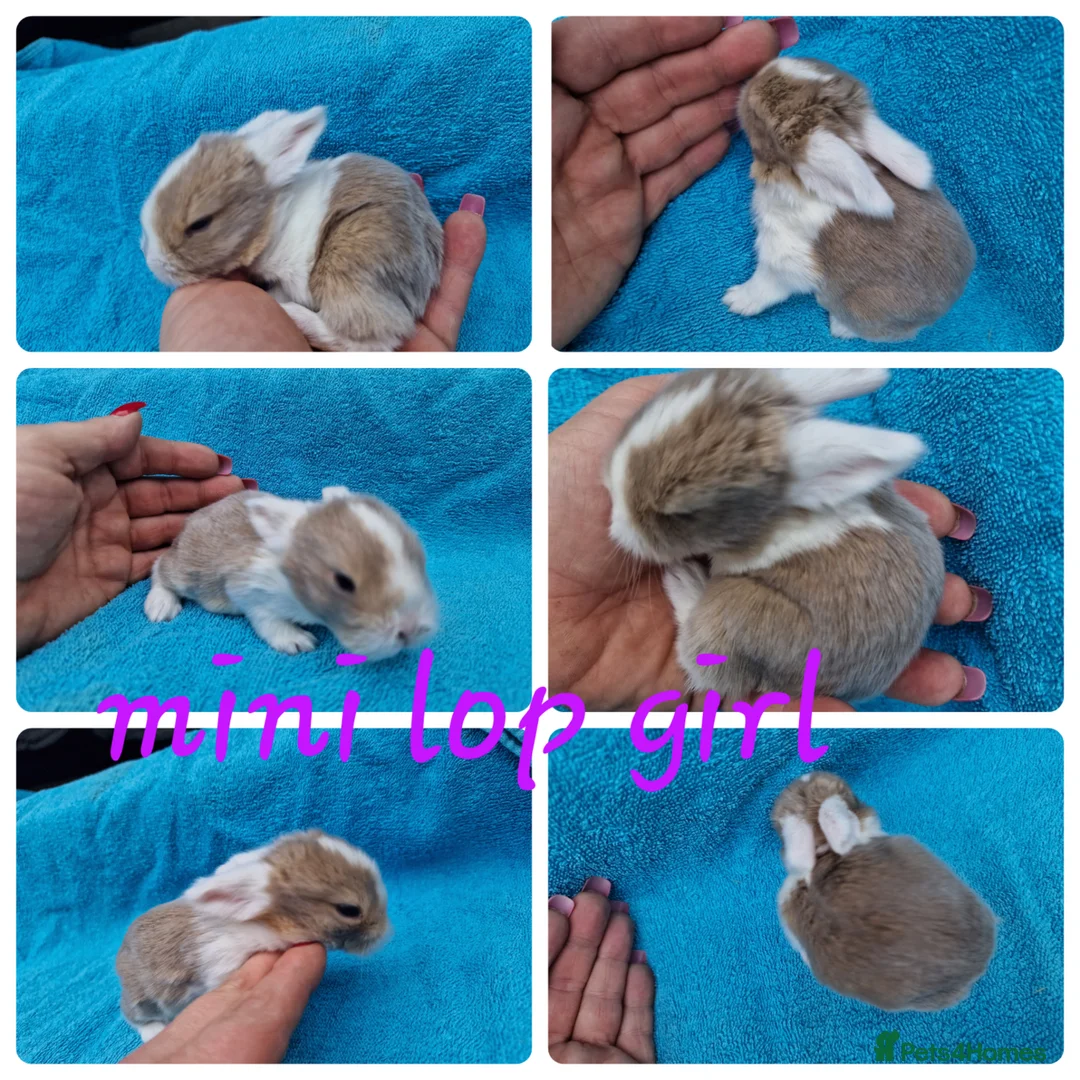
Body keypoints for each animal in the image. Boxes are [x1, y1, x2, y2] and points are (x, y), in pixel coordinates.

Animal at [116, 830, 392, 1041]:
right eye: (349, 909)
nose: (386, 933)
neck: (268, 924)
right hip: (144, 1000)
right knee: (131, 1015)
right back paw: (153, 1032)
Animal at [144, 486, 438, 658]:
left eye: (419, 557)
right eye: (343, 582)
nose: (410, 631)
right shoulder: (249, 592)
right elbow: (269, 622)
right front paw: (298, 641)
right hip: (186, 573)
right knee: (159, 568)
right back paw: (160, 607)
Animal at [723, 57, 975, 342]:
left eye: (756, 113)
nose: (749, 81)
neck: (803, 183)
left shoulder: (784, 258)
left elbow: (764, 286)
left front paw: (735, 300)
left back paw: (840, 327)